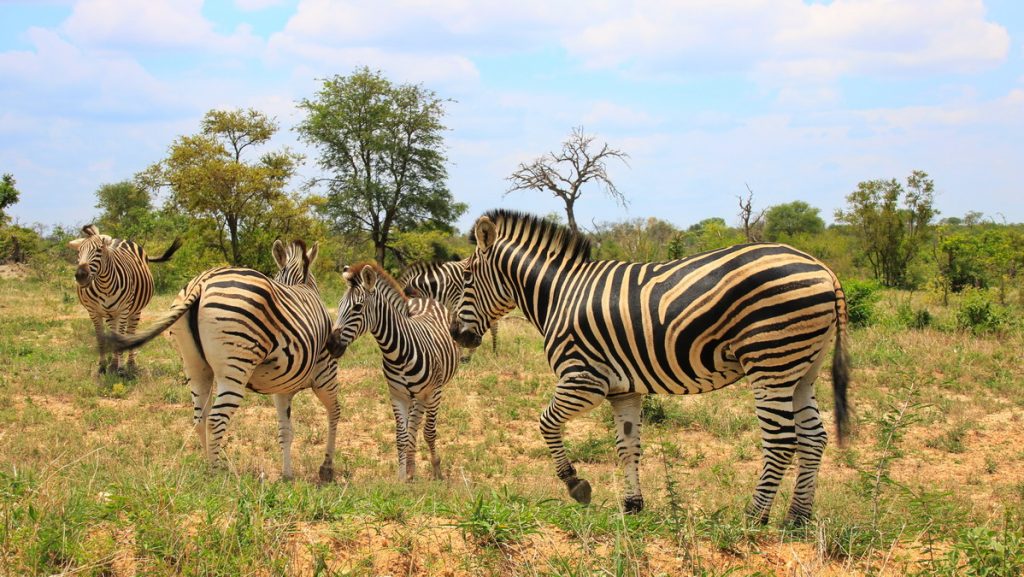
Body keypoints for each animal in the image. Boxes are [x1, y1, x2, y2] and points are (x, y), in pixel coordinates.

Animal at [67, 223, 182, 377]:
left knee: (130, 333)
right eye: (79, 252)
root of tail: (122, 239)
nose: (81, 276)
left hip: (134, 310)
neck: (104, 285)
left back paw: (130, 364)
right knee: (114, 332)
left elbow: (122, 337)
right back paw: (113, 363)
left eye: (99, 250)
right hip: (111, 313)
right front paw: (102, 367)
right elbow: (101, 337)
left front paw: (121, 369)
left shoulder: (123, 310)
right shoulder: (93, 311)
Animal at [104, 239, 344, 483]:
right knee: (216, 419)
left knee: (200, 418)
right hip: (235, 367)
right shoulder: (326, 373)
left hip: (195, 366)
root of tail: (201, 283)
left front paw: (287, 476)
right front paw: (326, 468)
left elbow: (286, 431)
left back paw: (210, 467)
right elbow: (334, 414)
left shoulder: (282, 387)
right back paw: (217, 474)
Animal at [329, 264, 458, 481]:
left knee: (419, 425)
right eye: (339, 305)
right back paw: (412, 467)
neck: (398, 351)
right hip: (415, 395)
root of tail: (421, 298)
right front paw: (402, 476)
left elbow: (429, 432)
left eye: (357, 308)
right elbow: (402, 435)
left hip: (427, 392)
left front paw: (437, 471)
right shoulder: (397, 395)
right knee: (413, 424)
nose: (331, 345)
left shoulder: (434, 392)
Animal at [452, 210, 851, 524]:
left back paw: (753, 517)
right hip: (802, 371)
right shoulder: (623, 389)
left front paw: (576, 484)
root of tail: (823, 269)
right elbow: (627, 446)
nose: (458, 335)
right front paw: (632, 505)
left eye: (467, 277)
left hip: (771, 363)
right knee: (814, 438)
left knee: (782, 440)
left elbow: (546, 422)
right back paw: (797, 517)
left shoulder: (584, 379)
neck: (558, 294)